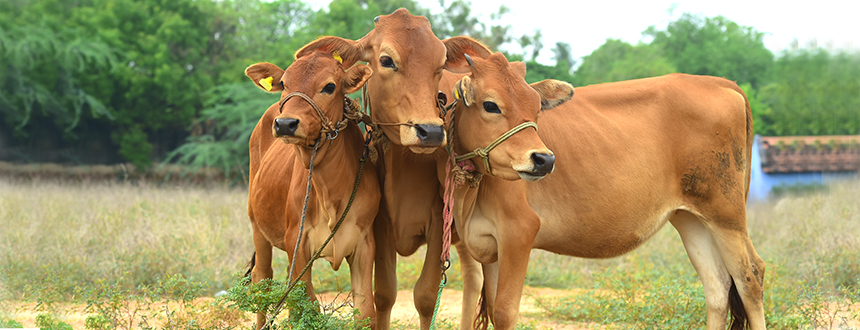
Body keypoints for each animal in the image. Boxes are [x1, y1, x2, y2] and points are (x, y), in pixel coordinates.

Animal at [242, 51, 376, 328]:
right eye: (284, 83)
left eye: (330, 86)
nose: (285, 124)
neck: (330, 193)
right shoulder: (297, 240)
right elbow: (305, 308)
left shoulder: (364, 242)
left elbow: (365, 311)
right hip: (256, 224)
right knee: (262, 279)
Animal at [450, 74, 764, 330]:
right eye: (490, 105)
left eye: (536, 108)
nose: (544, 159)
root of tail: (722, 83)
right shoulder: (484, 240)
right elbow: (486, 302)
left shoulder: (518, 230)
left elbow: (503, 311)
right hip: (691, 217)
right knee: (718, 286)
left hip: (726, 213)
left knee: (749, 276)